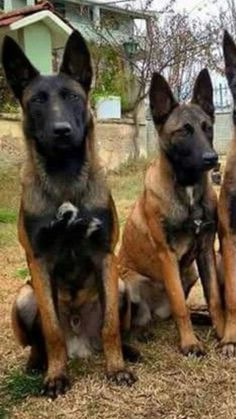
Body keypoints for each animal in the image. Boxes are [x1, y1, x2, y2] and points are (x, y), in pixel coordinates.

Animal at [1, 31, 136, 398]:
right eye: (37, 101)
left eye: (73, 97)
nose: (61, 130)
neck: (64, 177)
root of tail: (81, 341)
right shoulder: (39, 261)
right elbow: (51, 330)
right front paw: (56, 376)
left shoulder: (105, 257)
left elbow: (110, 326)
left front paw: (117, 368)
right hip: (24, 296)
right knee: (42, 341)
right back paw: (38, 364)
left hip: (120, 286)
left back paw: (129, 351)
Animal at [119, 68, 224, 354]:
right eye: (183, 131)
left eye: (207, 127)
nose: (213, 159)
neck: (187, 190)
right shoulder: (167, 255)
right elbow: (179, 306)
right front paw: (189, 343)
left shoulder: (206, 251)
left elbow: (214, 298)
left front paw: (224, 334)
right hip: (131, 281)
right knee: (135, 322)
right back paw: (142, 333)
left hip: (189, 272)